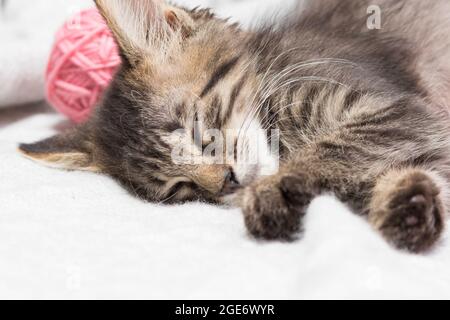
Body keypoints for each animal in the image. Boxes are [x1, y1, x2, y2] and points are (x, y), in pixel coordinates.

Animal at [19, 1, 450, 254]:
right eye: (181, 189)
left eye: (197, 133)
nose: (226, 183)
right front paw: (408, 204)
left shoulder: (399, 109)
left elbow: (335, 148)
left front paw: (272, 193)